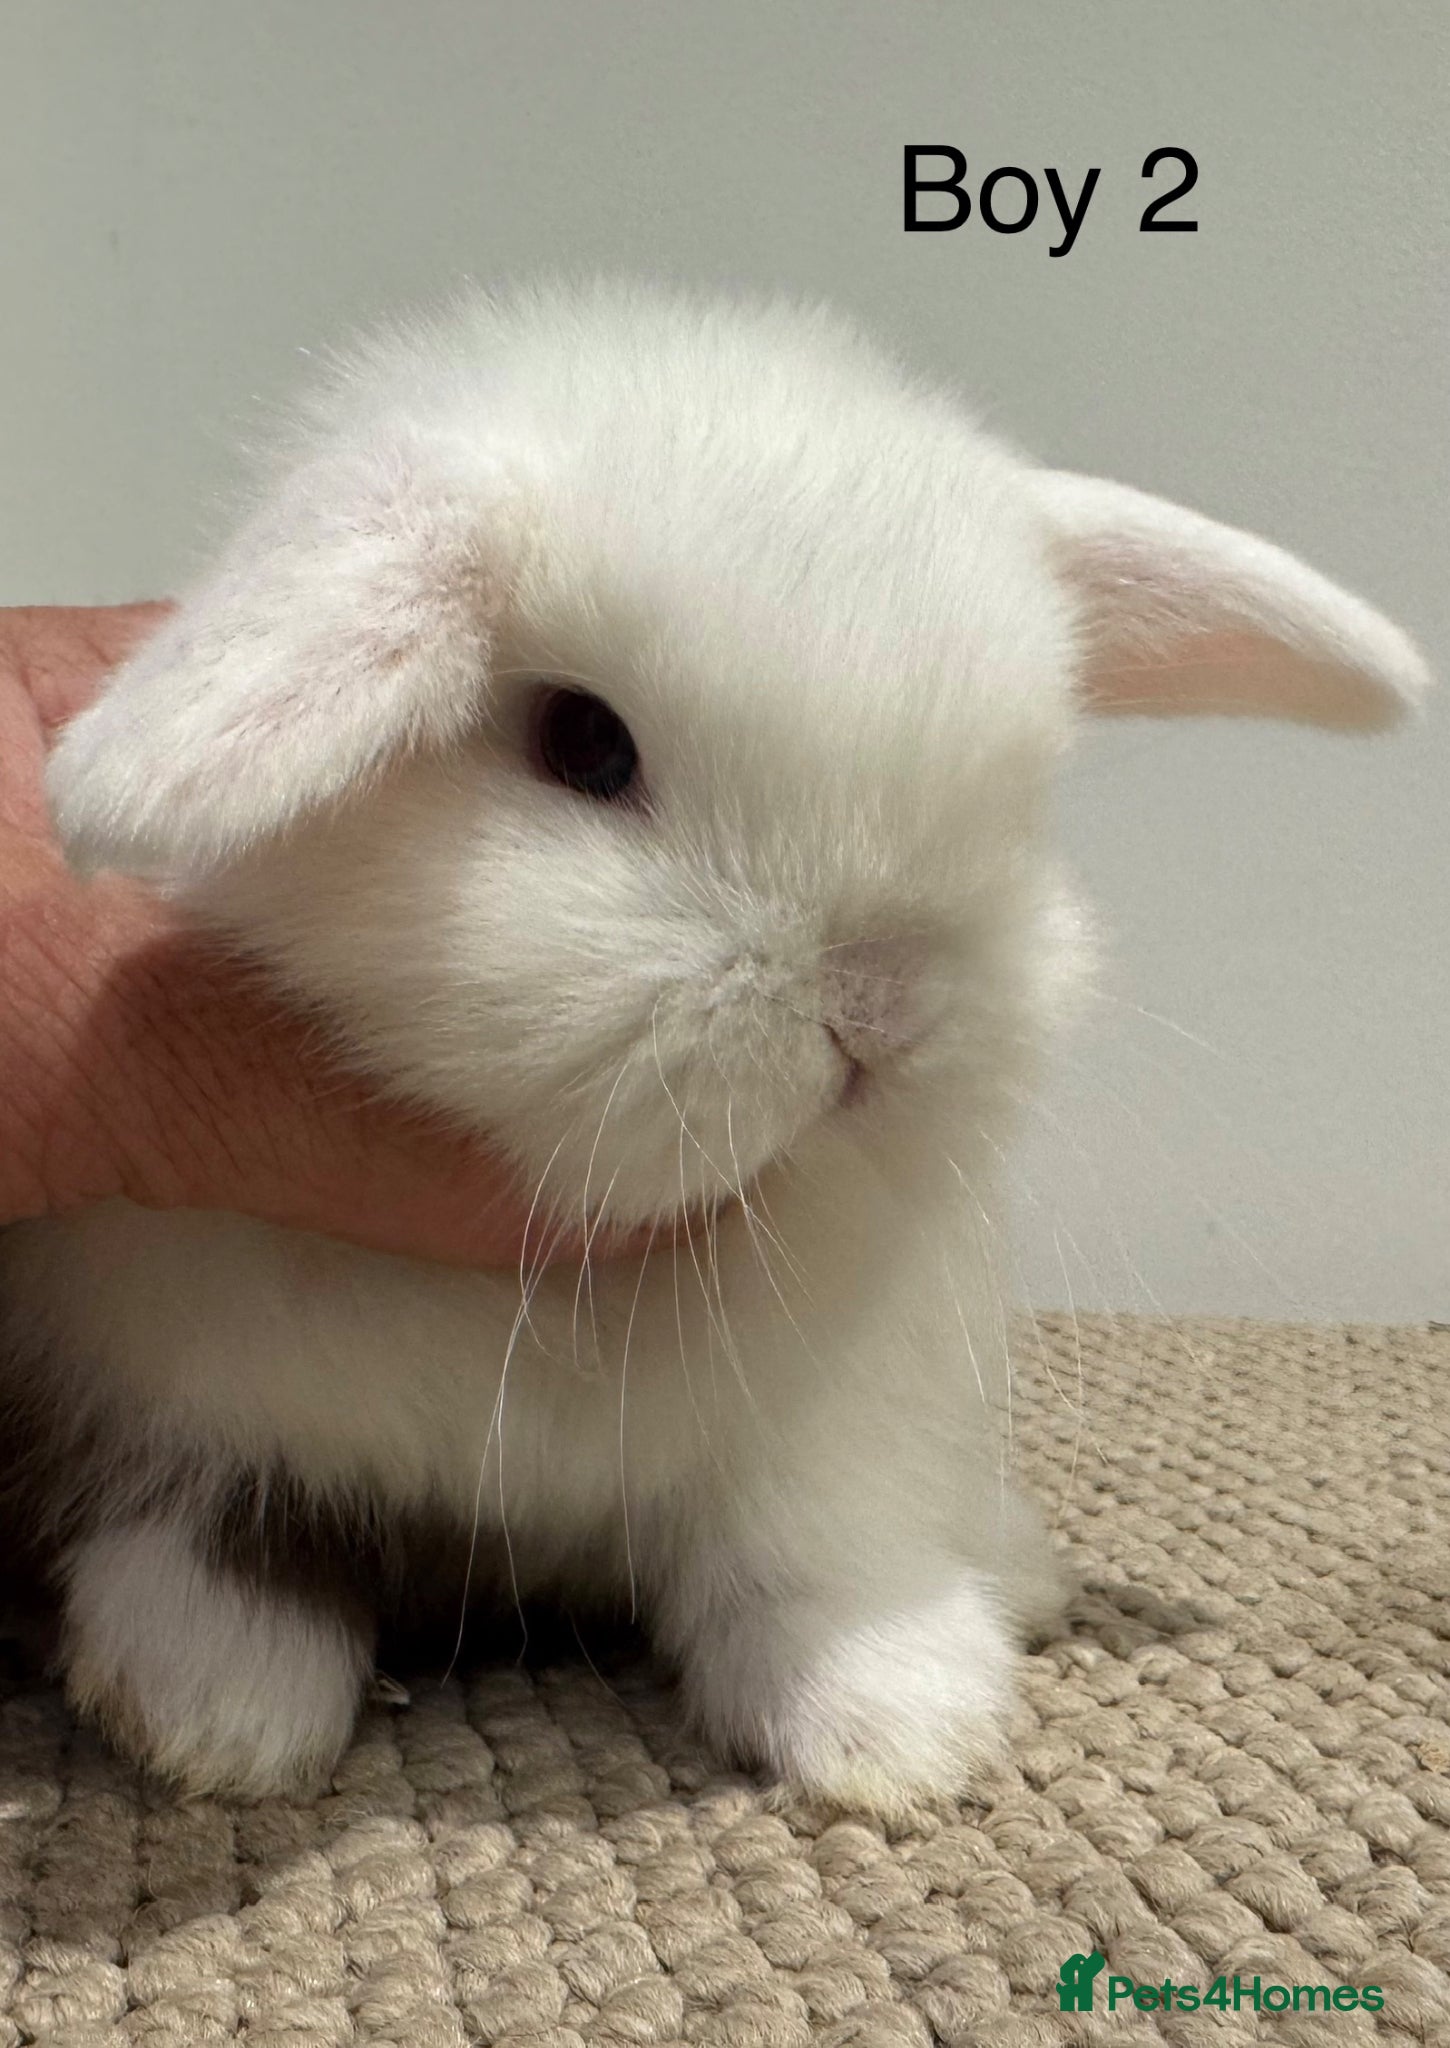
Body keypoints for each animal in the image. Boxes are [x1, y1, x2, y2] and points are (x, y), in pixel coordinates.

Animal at [0, 281, 1428, 1811]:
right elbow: (213, 1538)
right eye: (581, 740)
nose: (878, 1008)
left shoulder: (823, 1422)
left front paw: (895, 1730)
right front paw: (217, 1719)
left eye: (1014, 799)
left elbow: (810, 1560)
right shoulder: (167, 1378)